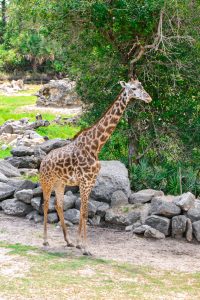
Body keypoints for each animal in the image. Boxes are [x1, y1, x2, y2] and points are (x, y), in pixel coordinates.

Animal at [39, 78, 152, 255]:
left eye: (142, 86)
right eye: (133, 88)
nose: (148, 98)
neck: (96, 146)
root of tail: (43, 161)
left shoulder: (90, 182)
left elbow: (83, 212)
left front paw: (78, 244)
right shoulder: (85, 181)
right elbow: (84, 213)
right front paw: (86, 248)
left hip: (60, 183)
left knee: (58, 205)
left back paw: (68, 241)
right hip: (47, 181)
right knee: (45, 205)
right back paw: (45, 241)